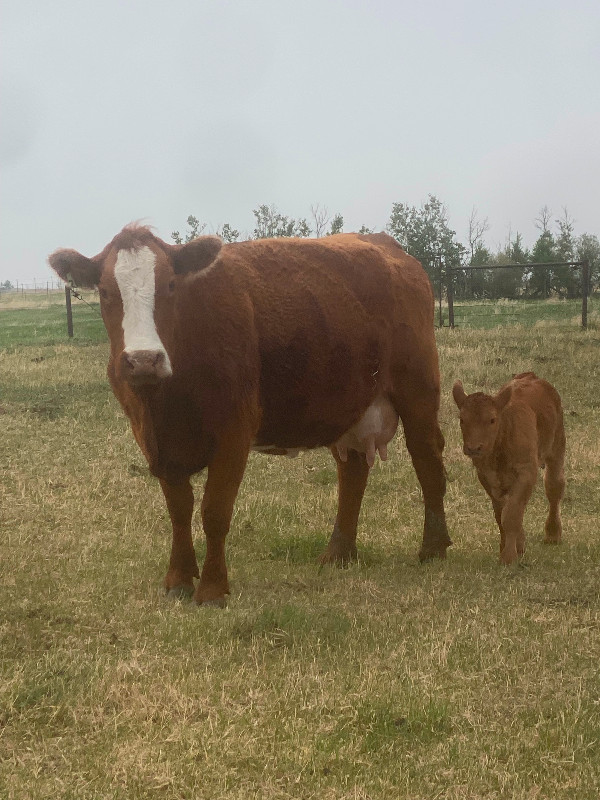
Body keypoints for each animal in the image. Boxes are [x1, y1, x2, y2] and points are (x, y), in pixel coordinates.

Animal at [49, 225, 451, 606]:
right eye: (105, 291)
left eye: (171, 285)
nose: (144, 359)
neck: (167, 402)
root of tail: (391, 248)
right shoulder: (155, 441)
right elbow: (178, 511)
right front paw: (178, 579)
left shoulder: (234, 432)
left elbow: (214, 511)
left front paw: (212, 589)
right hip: (349, 404)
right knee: (352, 472)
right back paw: (338, 553)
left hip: (418, 391)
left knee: (427, 461)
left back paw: (433, 548)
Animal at [452, 372, 565, 565]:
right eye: (462, 419)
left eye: (492, 419)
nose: (474, 448)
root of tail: (532, 377)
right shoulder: (487, 477)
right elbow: (501, 514)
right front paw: (513, 547)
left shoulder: (527, 472)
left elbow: (511, 515)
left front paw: (508, 557)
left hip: (557, 450)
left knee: (553, 488)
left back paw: (552, 535)